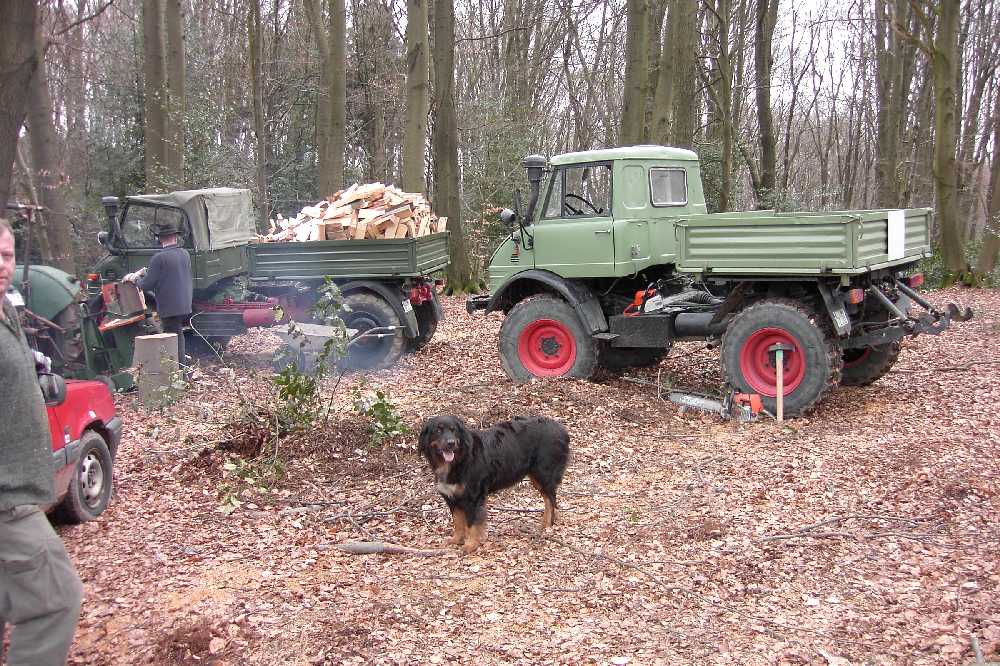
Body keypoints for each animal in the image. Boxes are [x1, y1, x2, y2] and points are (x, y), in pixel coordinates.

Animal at [418, 416, 568, 548]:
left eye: (453, 430)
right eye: (438, 430)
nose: (451, 443)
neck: (459, 460)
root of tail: (561, 428)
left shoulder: (474, 497)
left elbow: (472, 524)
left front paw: (470, 545)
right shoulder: (452, 498)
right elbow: (458, 522)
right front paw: (456, 540)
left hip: (543, 474)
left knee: (551, 500)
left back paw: (547, 526)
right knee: (550, 499)